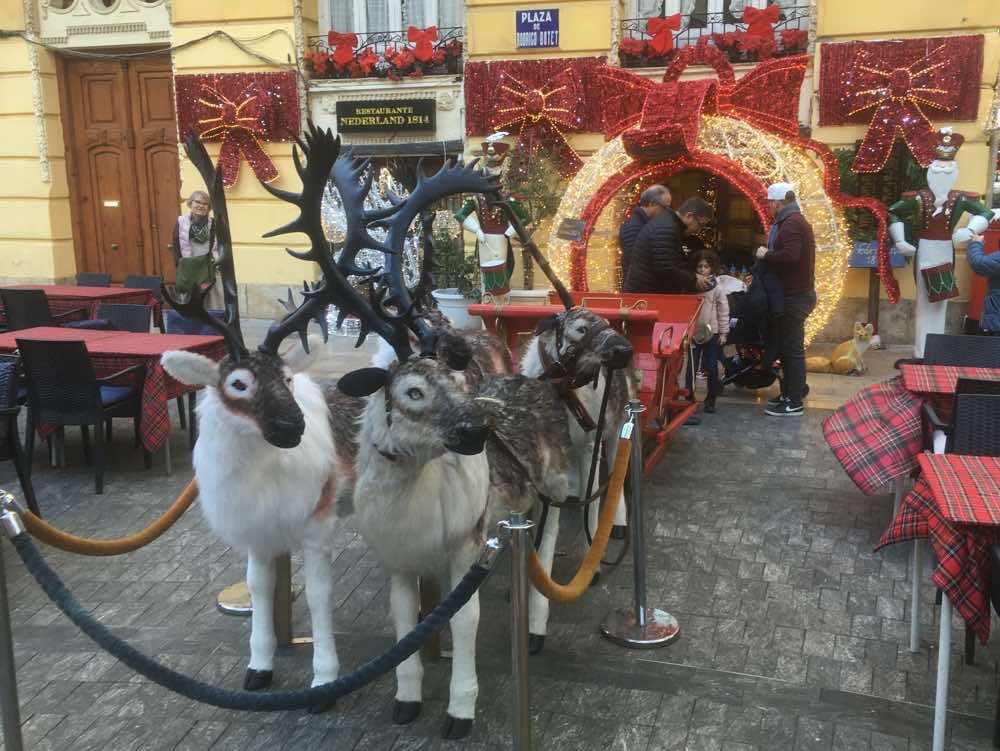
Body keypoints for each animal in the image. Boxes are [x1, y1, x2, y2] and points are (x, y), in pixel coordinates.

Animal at [159, 127, 349, 705]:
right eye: (237, 383)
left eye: (287, 378)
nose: (292, 428)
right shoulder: (256, 534)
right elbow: (260, 589)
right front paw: (259, 667)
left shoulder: (316, 524)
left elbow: (319, 595)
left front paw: (325, 680)